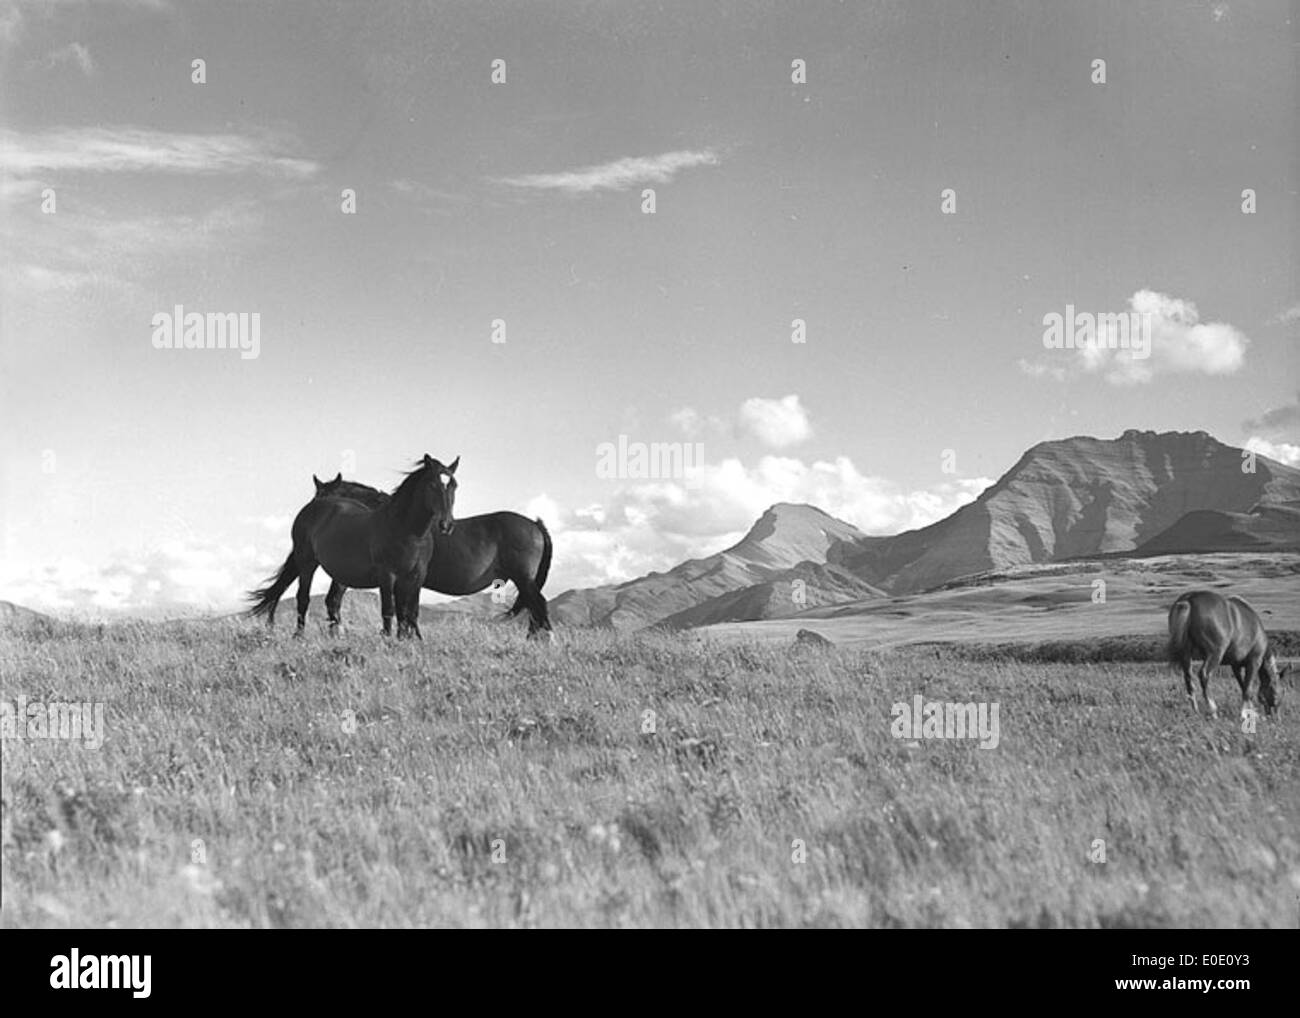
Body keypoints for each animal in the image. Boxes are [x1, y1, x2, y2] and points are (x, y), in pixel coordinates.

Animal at [250, 455, 460, 637]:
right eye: (432, 485)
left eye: (454, 485)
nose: (446, 525)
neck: (408, 531)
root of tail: (309, 510)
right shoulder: (387, 575)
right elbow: (389, 610)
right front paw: (388, 640)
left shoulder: (415, 577)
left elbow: (408, 612)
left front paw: (406, 641)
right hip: (307, 563)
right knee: (303, 598)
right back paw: (299, 636)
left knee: (331, 601)